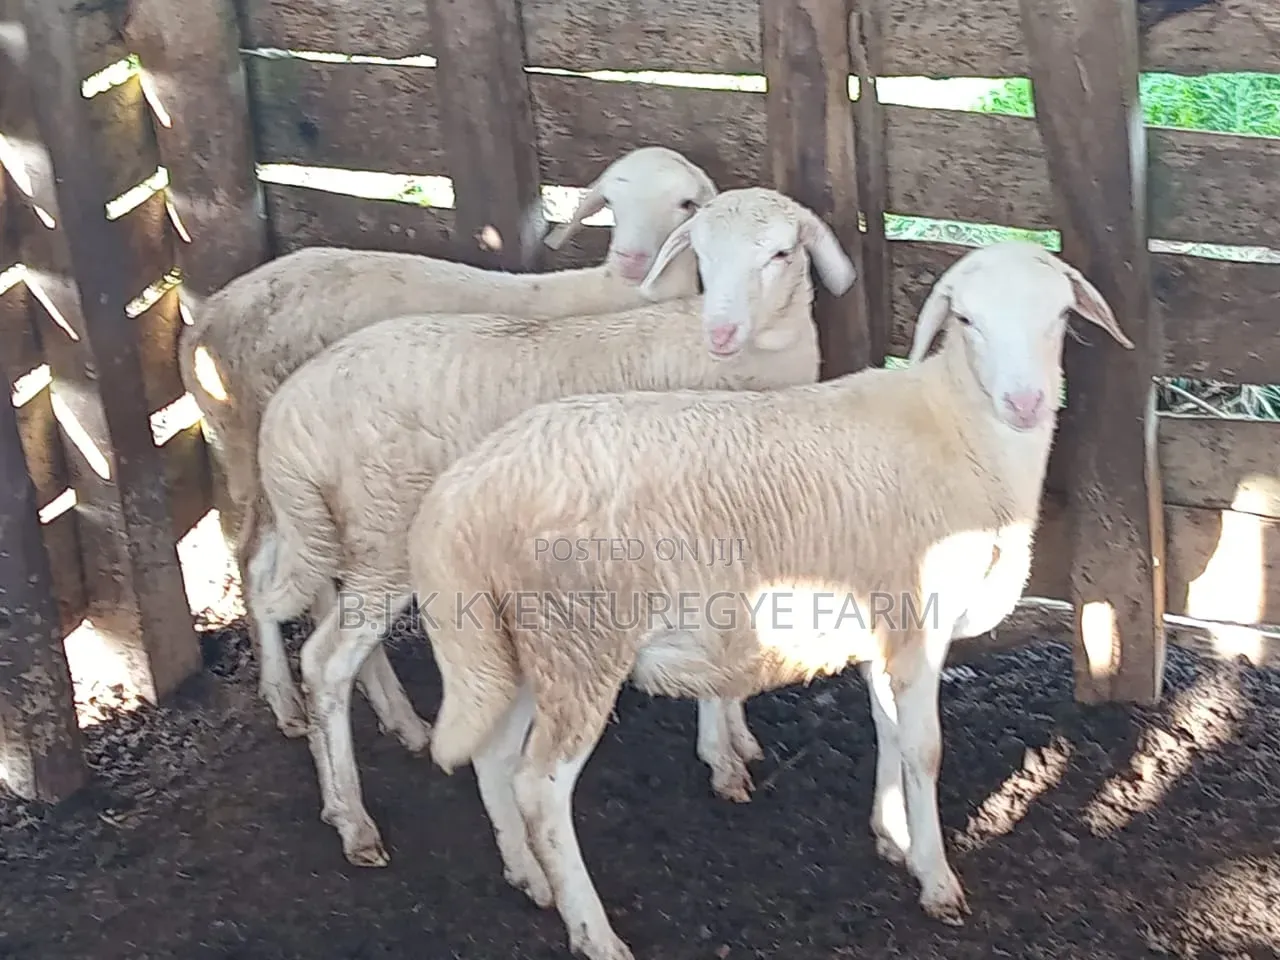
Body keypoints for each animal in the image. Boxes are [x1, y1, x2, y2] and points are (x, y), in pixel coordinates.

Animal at [177, 145, 718, 736]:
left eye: (686, 203)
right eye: (612, 203)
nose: (632, 260)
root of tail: (201, 326)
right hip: (260, 450)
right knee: (261, 566)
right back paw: (295, 697)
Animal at [249, 186, 858, 867]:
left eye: (781, 253)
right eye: (700, 255)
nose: (721, 331)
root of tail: (291, 414)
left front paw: (738, 738)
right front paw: (722, 758)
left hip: (327, 524)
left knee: (276, 588)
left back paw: (366, 740)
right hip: (386, 534)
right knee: (326, 660)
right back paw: (355, 820)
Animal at [407, 240, 1134, 960]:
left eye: (1060, 316)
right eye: (966, 320)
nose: (1026, 403)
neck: (960, 431)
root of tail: (459, 499)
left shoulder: (883, 625)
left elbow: (888, 731)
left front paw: (891, 837)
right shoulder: (918, 624)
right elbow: (923, 749)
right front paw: (936, 880)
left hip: (518, 643)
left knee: (494, 757)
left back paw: (528, 876)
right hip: (579, 638)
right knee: (541, 786)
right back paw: (592, 931)